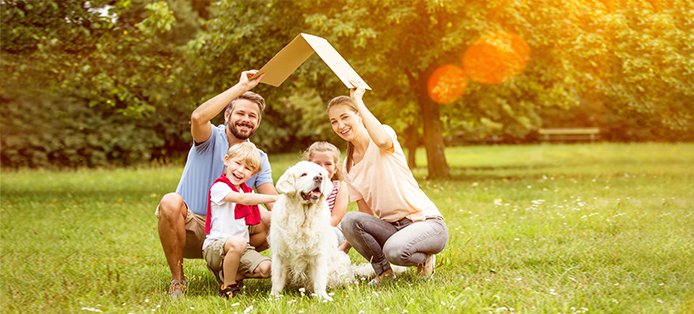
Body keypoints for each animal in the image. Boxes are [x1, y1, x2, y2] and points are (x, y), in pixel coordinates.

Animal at [268, 161, 354, 300]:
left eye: (320, 173)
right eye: (303, 174)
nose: (318, 178)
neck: (303, 219)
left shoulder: (318, 254)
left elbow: (319, 280)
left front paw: (323, 298)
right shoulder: (279, 254)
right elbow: (277, 279)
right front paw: (274, 297)